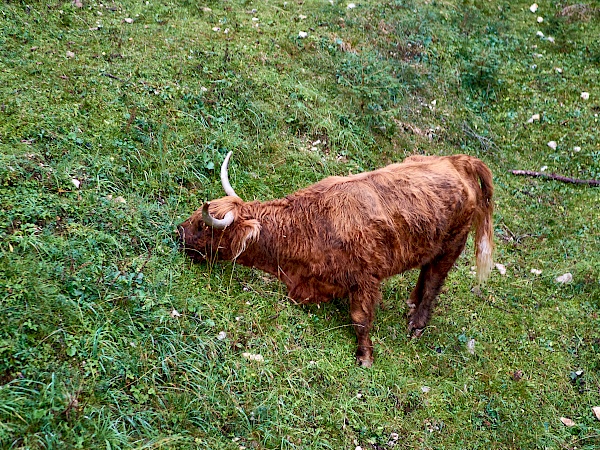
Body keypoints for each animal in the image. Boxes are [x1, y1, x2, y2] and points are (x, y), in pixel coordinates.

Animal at [177, 153, 492, 368]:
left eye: (204, 225)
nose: (178, 233)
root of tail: (458, 160)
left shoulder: (367, 279)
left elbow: (360, 319)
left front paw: (365, 356)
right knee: (425, 272)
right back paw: (411, 304)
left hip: (452, 245)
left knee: (434, 281)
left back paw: (416, 325)